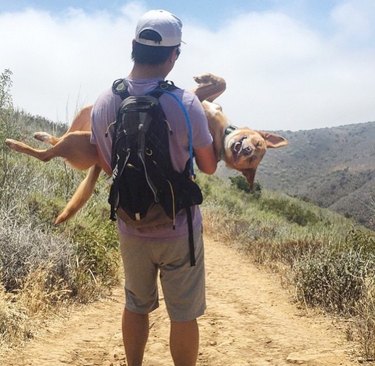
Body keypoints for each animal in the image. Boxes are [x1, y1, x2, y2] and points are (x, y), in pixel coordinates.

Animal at [5, 73, 288, 223]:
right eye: (257, 144)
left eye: (252, 160)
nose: (246, 151)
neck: (220, 132)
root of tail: (98, 161)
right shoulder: (202, 98)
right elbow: (219, 86)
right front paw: (208, 78)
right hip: (82, 123)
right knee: (58, 138)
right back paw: (42, 134)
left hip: (77, 141)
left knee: (47, 155)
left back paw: (15, 143)